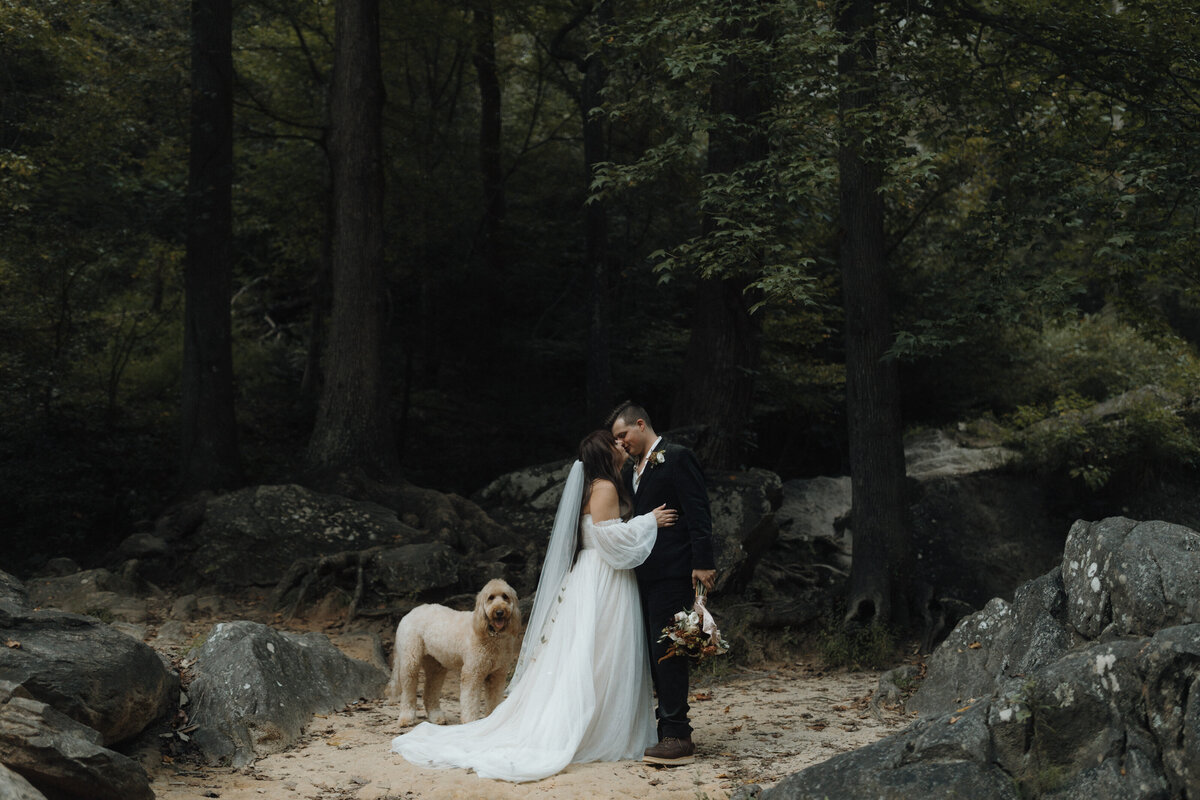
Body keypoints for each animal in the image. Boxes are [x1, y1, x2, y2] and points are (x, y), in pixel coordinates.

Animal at [388, 582, 520, 724]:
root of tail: (410, 613)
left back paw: (436, 717)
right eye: (491, 597)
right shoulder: (472, 673)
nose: (499, 612)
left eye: (505, 597)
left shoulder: (497, 675)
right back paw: (406, 718)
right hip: (410, 661)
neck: (492, 635)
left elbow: (494, 700)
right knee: (408, 691)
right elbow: (470, 702)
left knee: (430, 691)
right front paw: (470, 722)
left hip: (436, 665)